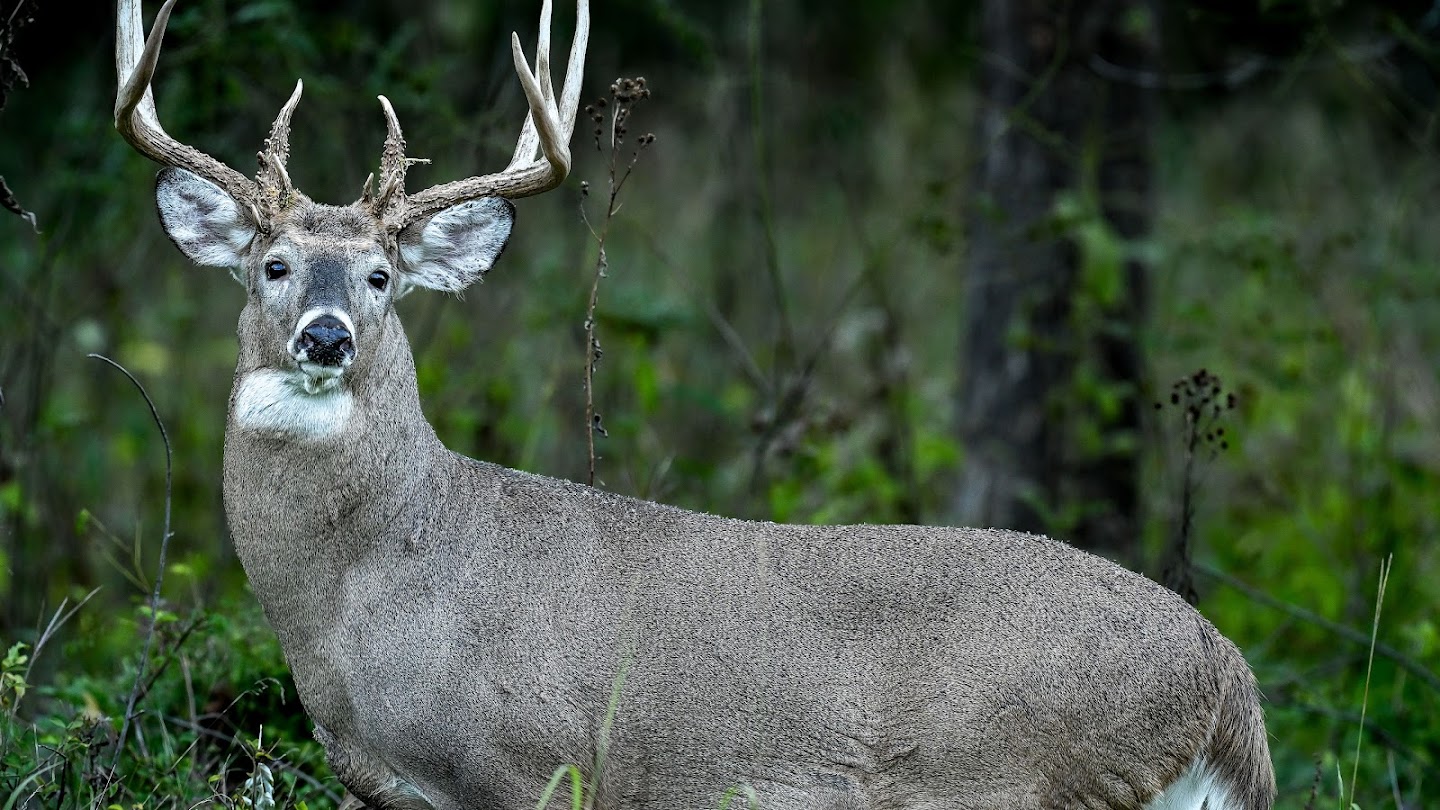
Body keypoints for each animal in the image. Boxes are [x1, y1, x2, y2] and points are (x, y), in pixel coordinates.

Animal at [115, 0, 1272, 801]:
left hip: (1007, 774)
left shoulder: (538, 764)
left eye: (381, 276)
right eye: (270, 265)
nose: (327, 335)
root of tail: (1226, 677)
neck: (370, 591)